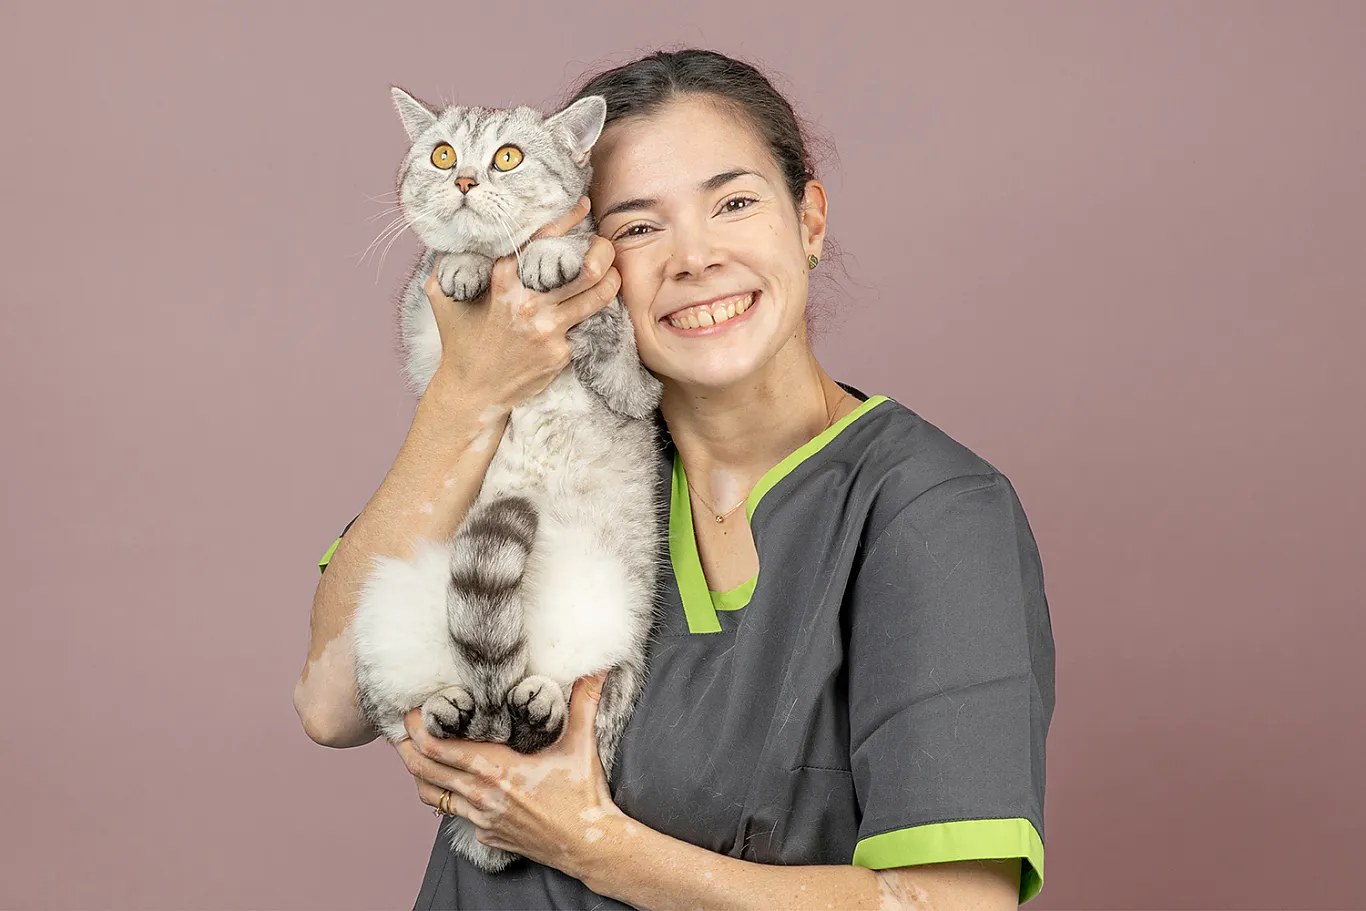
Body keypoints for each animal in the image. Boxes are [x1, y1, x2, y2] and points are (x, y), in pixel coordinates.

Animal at [352, 88, 666, 874]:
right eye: (441, 155)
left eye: (508, 155)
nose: (464, 179)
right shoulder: (421, 329)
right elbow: (439, 264)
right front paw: (465, 262)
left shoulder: (629, 347)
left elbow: (605, 309)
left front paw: (554, 252)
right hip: (378, 620)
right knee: (405, 720)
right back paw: (451, 709)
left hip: (619, 633)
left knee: (567, 710)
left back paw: (538, 705)